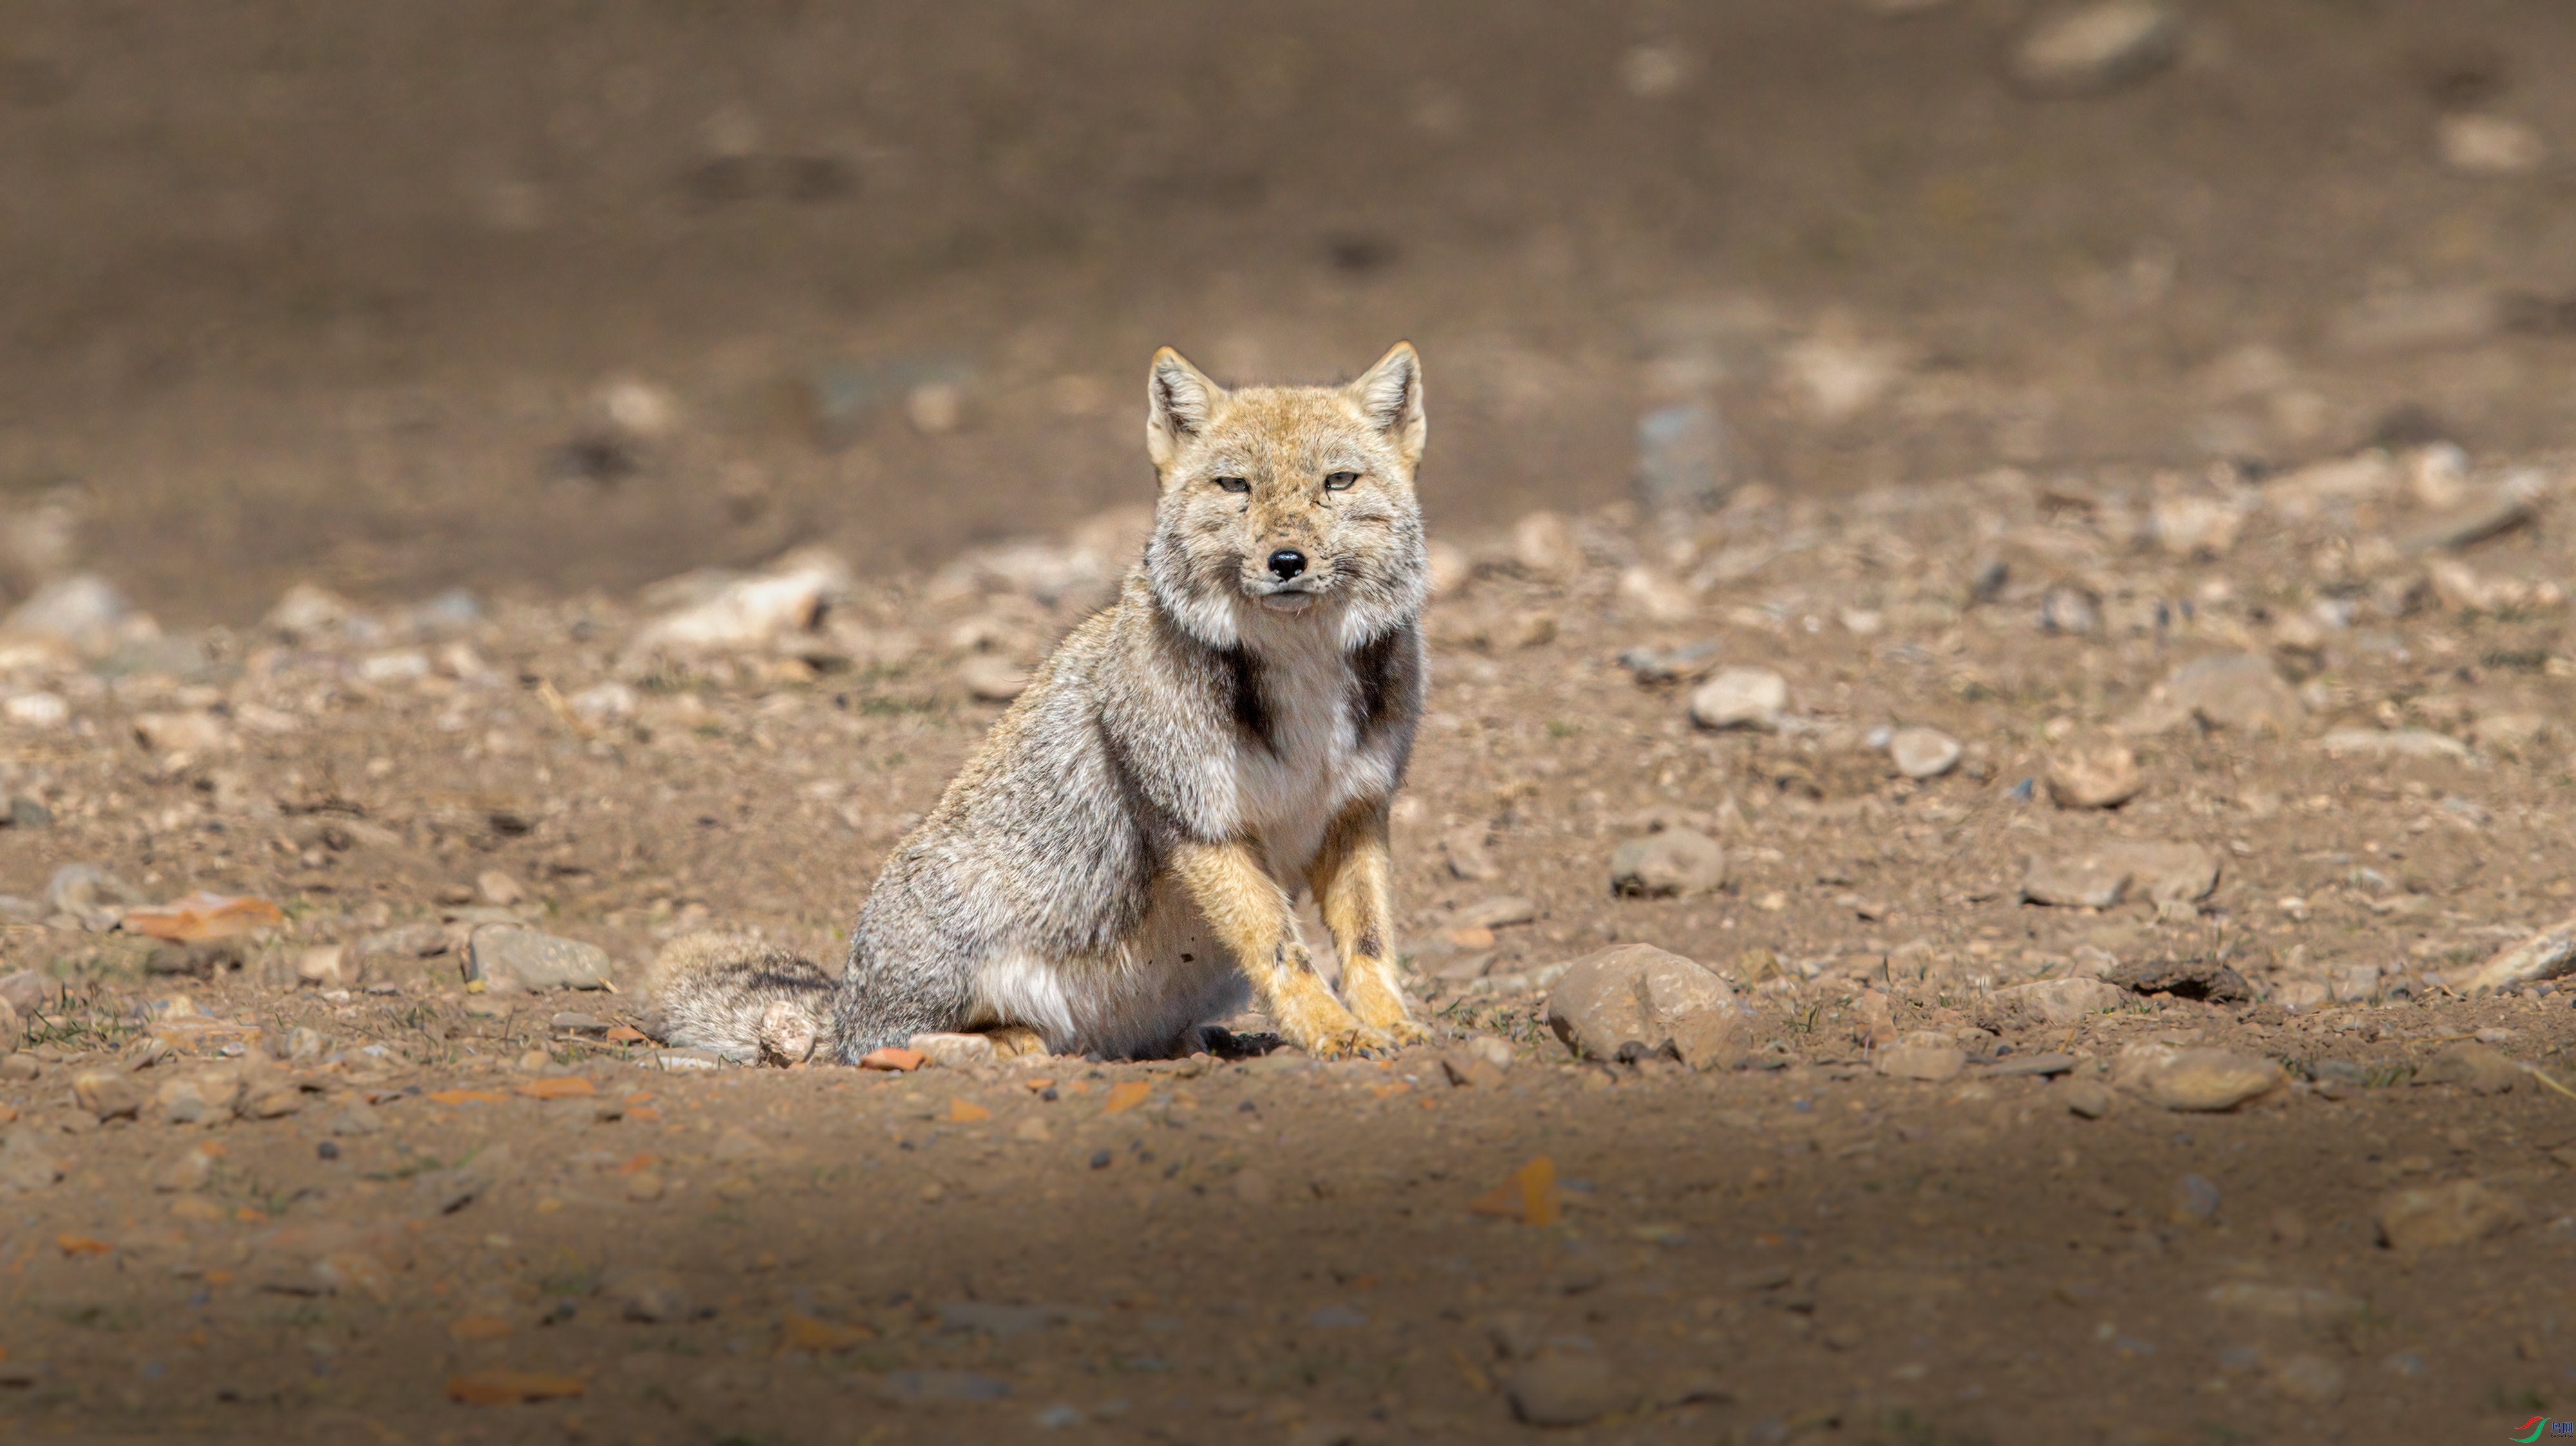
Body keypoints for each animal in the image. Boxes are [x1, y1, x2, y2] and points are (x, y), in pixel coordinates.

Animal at [644, 337, 1443, 1060]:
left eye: (1337, 482)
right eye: (1235, 486)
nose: (1286, 560)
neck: (1300, 673)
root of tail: (843, 1004)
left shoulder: (1357, 811)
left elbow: (1370, 947)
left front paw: (1392, 1025)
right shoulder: (1201, 821)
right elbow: (1285, 951)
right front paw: (1334, 1031)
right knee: (885, 1045)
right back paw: (995, 1043)